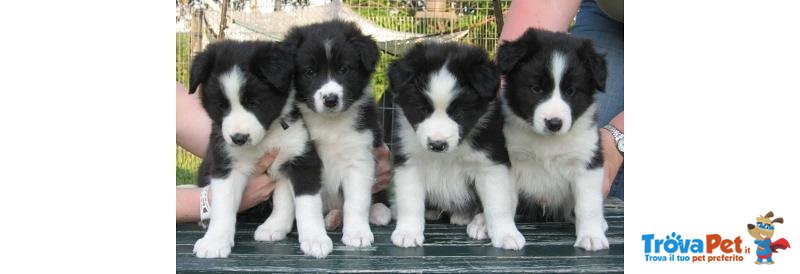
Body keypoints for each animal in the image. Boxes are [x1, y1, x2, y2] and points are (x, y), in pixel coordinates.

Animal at [189, 41, 330, 260]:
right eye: (221, 106)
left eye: (254, 103)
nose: (239, 138)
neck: (266, 138)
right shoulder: (226, 163)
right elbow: (223, 204)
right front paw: (214, 241)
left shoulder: (300, 157)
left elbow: (307, 202)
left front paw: (316, 239)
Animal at [284, 20, 390, 249]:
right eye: (309, 72)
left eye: (344, 69)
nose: (330, 100)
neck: (330, 123)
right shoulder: (300, 158)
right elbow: (305, 203)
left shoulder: (360, 158)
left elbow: (356, 202)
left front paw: (357, 233)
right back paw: (333, 217)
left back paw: (377, 211)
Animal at [388, 41, 524, 249]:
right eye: (422, 109)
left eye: (459, 112)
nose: (437, 144)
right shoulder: (409, 162)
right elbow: (410, 201)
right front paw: (407, 232)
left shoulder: (490, 165)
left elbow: (498, 204)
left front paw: (506, 234)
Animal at [496, 28, 608, 252]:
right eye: (536, 89)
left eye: (571, 91)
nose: (554, 123)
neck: (548, 142)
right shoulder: (510, 159)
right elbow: (504, 199)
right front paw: (504, 231)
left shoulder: (587, 161)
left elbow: (588, 205)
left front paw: (591, 235)